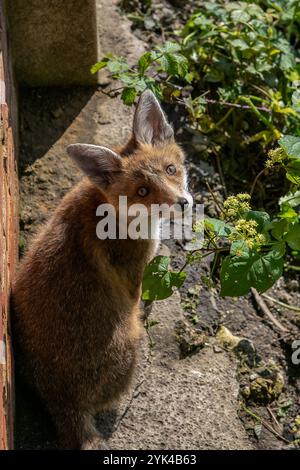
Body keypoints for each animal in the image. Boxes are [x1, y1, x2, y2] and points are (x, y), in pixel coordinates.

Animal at [11, 90, 192, 450]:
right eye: (142, 191)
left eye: (171, 169)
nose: (182, 204)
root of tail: (63, 401)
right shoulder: (134, 276)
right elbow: (141, 299)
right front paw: (149, 308)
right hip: (130, 345)